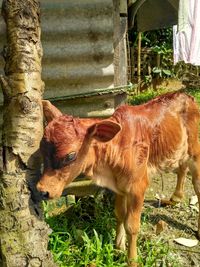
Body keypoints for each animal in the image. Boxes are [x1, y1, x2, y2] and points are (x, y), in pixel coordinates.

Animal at [36, 91, 200, 266]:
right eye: (41, 150)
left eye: (70, 155)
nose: (42, 190)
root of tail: (185, 95)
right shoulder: (119, 187)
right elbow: (120, 214)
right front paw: (118, 247)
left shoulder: (138, 187)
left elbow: (132, 226)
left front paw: (132, 260)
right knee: (182, 167)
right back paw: (175, 198)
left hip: (195, 151)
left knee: (196, 183)